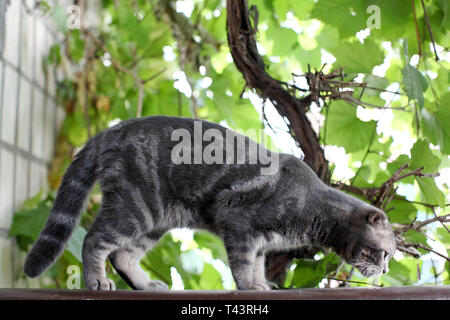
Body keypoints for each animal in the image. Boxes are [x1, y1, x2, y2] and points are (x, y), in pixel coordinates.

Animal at [25, 115, 398, 290]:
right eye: (385, 254)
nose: (385, 270)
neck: (315, 208)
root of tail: (110, 132)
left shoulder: (261, 243)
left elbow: (258, 265)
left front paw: (261, 284)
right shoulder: (241, 225)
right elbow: (243, 265)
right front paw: (249, 287)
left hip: (155, 222)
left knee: (123, 255)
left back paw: (146, 284)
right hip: (135, 209)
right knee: (94, 240)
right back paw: (96, 281)